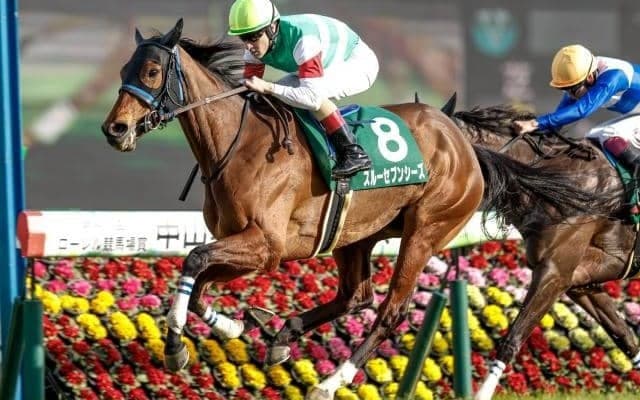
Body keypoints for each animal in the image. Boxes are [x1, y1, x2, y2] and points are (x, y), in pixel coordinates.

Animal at [101, 19, 608, 399]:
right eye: (125, 67)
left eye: (151, 72)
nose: (114, 129)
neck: (241, 144)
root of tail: (465, 144)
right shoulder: (249, 246)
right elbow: (200, 281)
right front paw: (228, 324)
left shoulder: (266, 246)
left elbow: (193, 260)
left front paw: (175, 346)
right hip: (356, 233)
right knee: (355, 296)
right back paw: (282, 338)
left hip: (425, 231)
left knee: (389, 311)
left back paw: (330, 381)